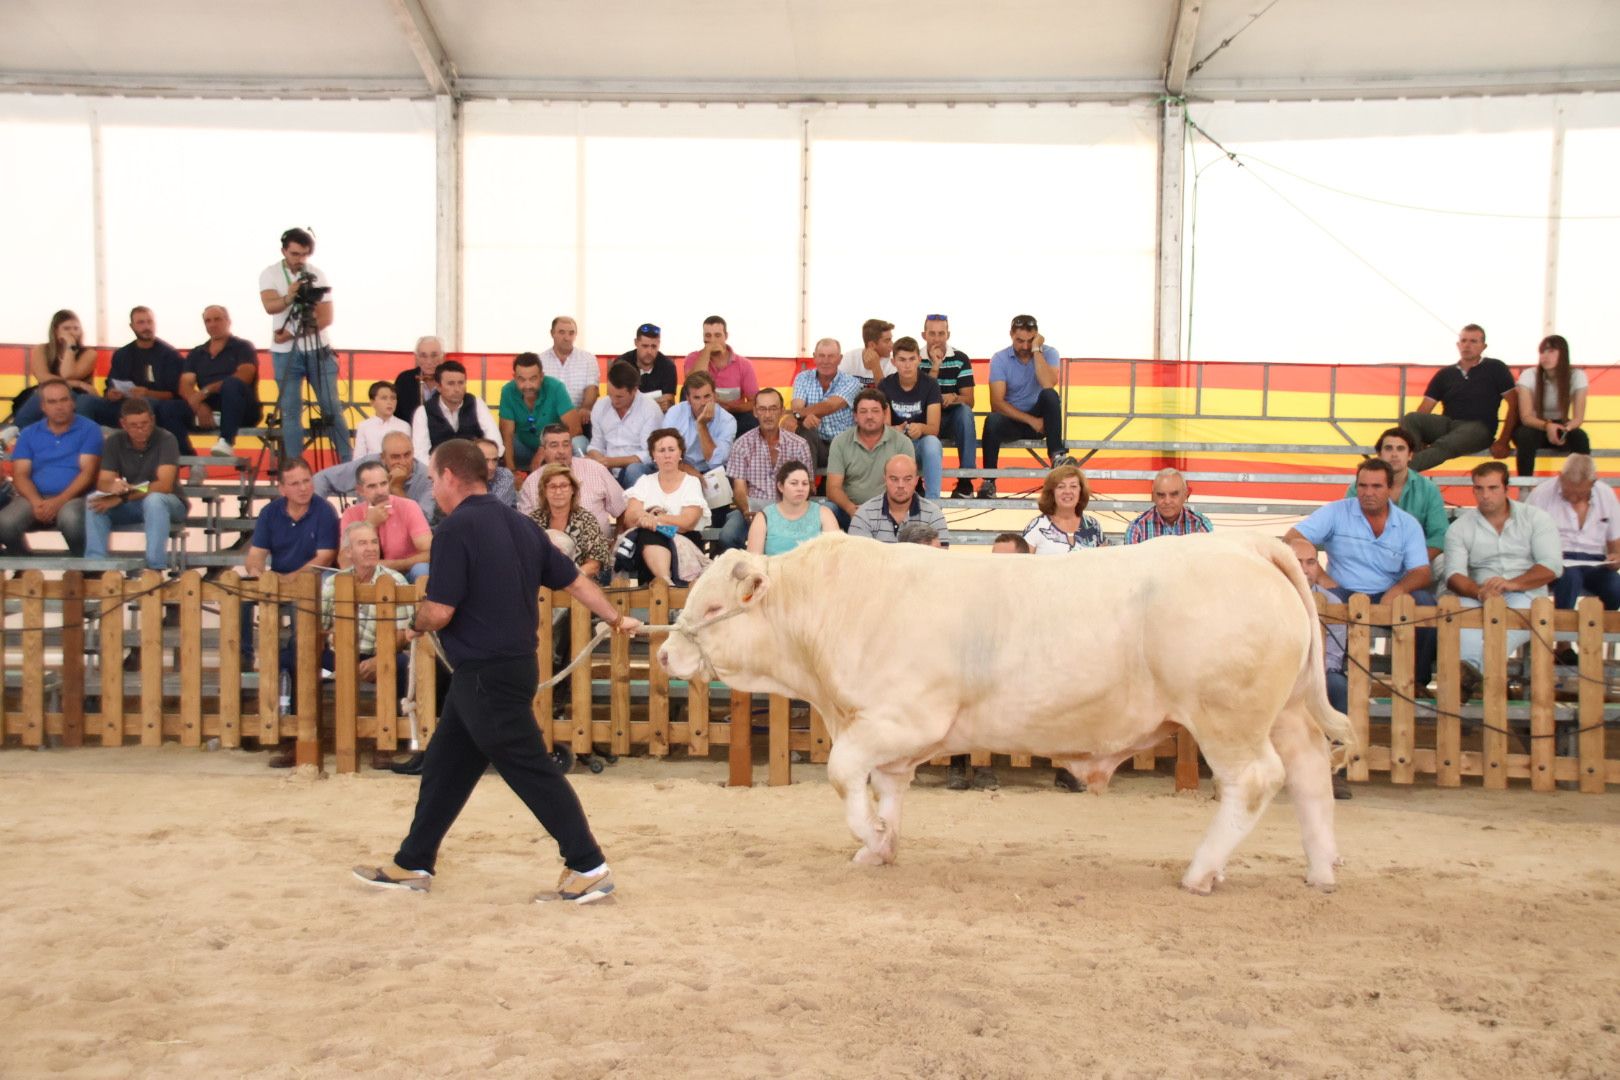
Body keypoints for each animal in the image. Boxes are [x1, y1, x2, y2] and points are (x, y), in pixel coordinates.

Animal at [657, 531, 1354, 893]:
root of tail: (1246, 542)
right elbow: (888, 788)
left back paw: (1201, 871)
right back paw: (1322, 870)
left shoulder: (901, 718)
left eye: (714, 606)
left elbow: (843, 775)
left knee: (1257, 781)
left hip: (1226, 716)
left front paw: (871, 837)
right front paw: (882, 847)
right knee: (1310, 771)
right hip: (1283, 713)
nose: (664, 651)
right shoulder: (888, 735)